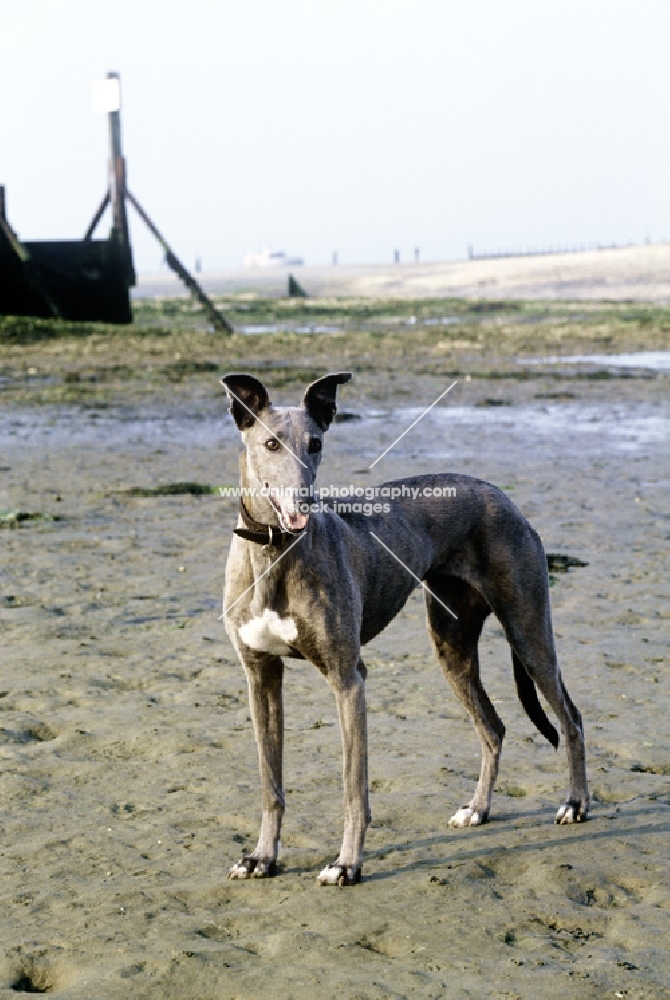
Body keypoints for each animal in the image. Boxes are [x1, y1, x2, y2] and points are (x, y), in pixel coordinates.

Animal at [220, 374, 588, 884]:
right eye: (270, 443)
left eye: (316, 444)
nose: (304, 503)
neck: (276, 550)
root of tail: (499, 494)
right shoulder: (260, 676)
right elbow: (269, 783)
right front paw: (261, 857)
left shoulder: (348, 679)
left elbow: (354, 788)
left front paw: (347, 864)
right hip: (452, 646)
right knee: (493, 728)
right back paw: (478, 809)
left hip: (528, 632)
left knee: (570, 718)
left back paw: (575, 804)